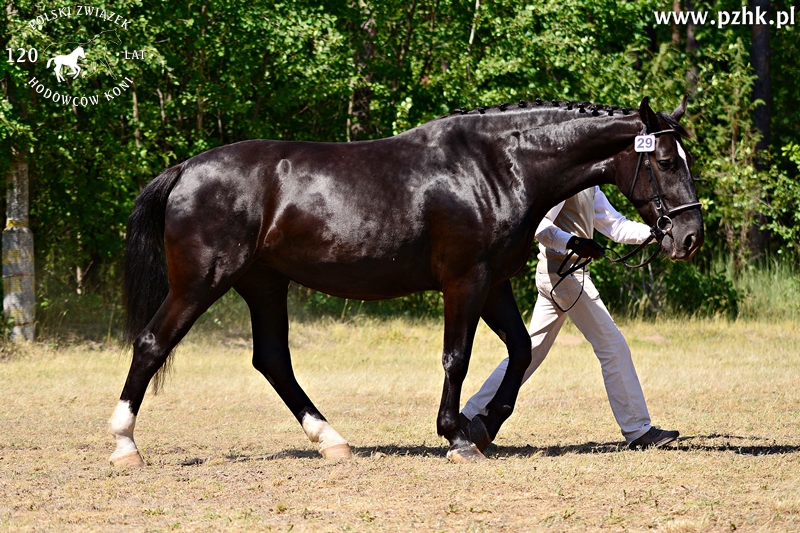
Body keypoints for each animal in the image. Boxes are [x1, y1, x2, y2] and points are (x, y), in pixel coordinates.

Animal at [111, 96, 700, 466]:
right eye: (666, 161)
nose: (689, 236)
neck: (497, 166)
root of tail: (186, 170)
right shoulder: (465, 280)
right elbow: (457, 357)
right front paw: (457, 435)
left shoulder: (494, 285)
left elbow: (518, 350)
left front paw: (485, 424)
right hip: (201, 282)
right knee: (152, 343)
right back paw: (124, 446)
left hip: (264, 284)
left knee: (273, 360)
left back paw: (332, 441)